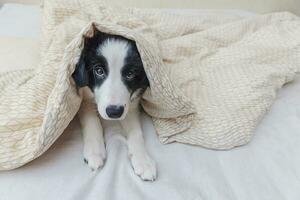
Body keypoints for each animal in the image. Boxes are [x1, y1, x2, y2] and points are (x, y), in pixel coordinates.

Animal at [73, 30, 157, 181]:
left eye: (130, 74)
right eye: (99, 71)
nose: (114, 112)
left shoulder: (130, 105)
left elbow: (136, 132)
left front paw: (143, 160)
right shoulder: (83, 97)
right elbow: (91, 120)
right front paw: (95, 151)